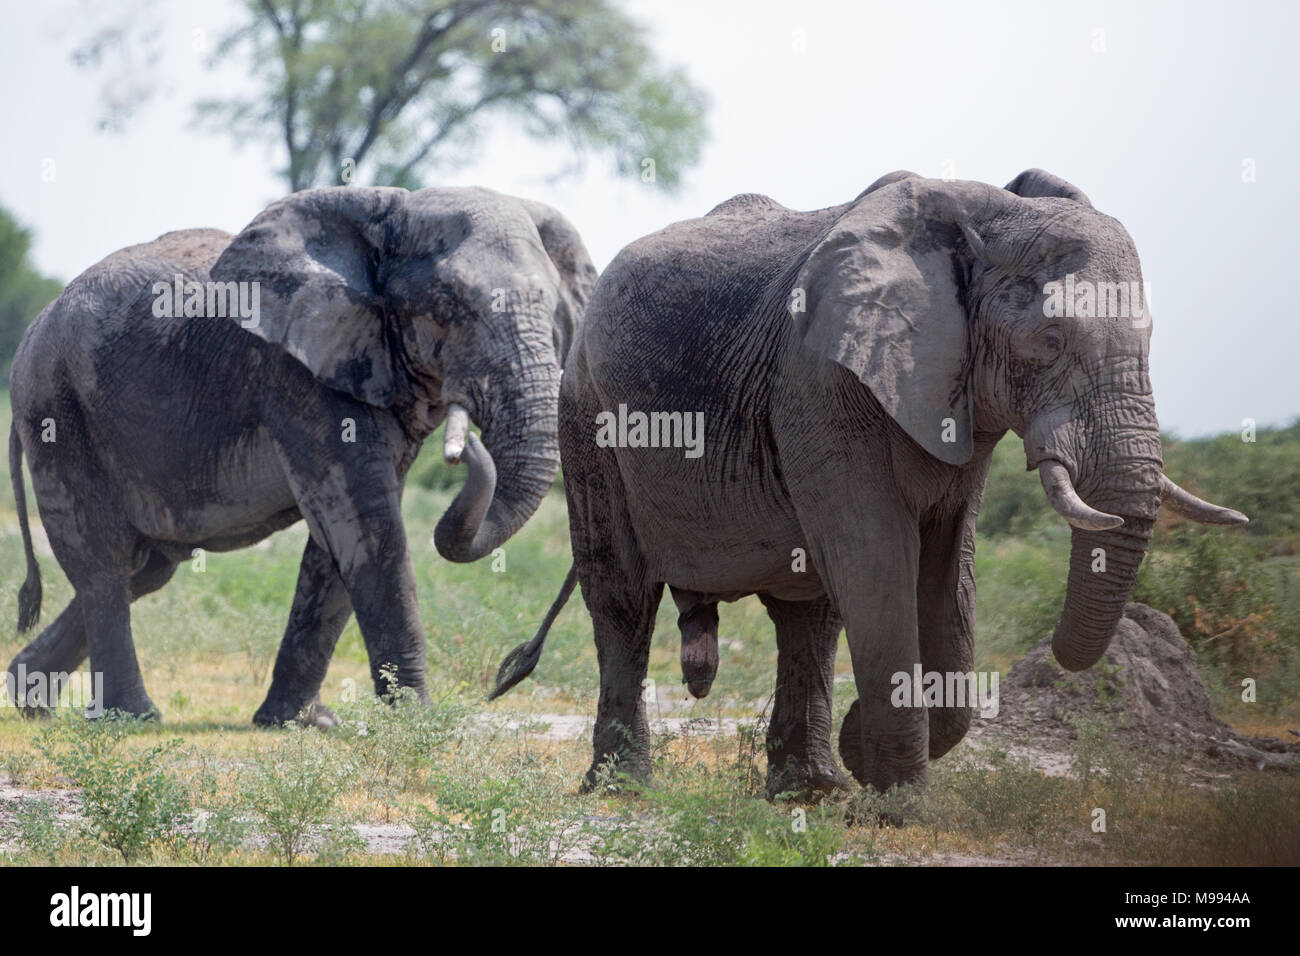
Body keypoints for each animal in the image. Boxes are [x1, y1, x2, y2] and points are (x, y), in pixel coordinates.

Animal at [7, 185, 595, 724]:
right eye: (448, 307)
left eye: (553, 311)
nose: (461, 442)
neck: (393, 211)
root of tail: (32, 328)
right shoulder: (298, 373)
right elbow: (367, 524)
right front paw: (416, 723)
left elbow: (336, 539)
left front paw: (300, 723)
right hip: (57, 408)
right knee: (104, 564)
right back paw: (132, 717)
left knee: (146, 568)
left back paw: (30, 699)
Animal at [490, 168, 1247, 800]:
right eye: (1052, 339)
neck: (981, 214)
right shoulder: (822, 382)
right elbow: (877, 559)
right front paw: (898, 803)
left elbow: (948, 571)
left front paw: (871, 763)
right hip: (585, 414)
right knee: (622, 595)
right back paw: (624, 790)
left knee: (809, 615)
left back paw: (810, 790)